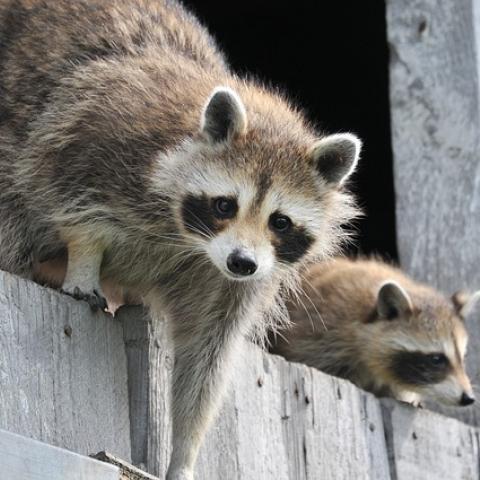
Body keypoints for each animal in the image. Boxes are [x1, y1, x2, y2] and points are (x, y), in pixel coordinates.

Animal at [0, 1, 360, 478]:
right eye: (225, 205)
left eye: (280, 222)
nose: (242, 262)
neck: (192, 241)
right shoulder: (100, 132)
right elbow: (72, 194)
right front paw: (84, 258)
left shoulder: (230, 283)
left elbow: (206, 359)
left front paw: (185, 451)